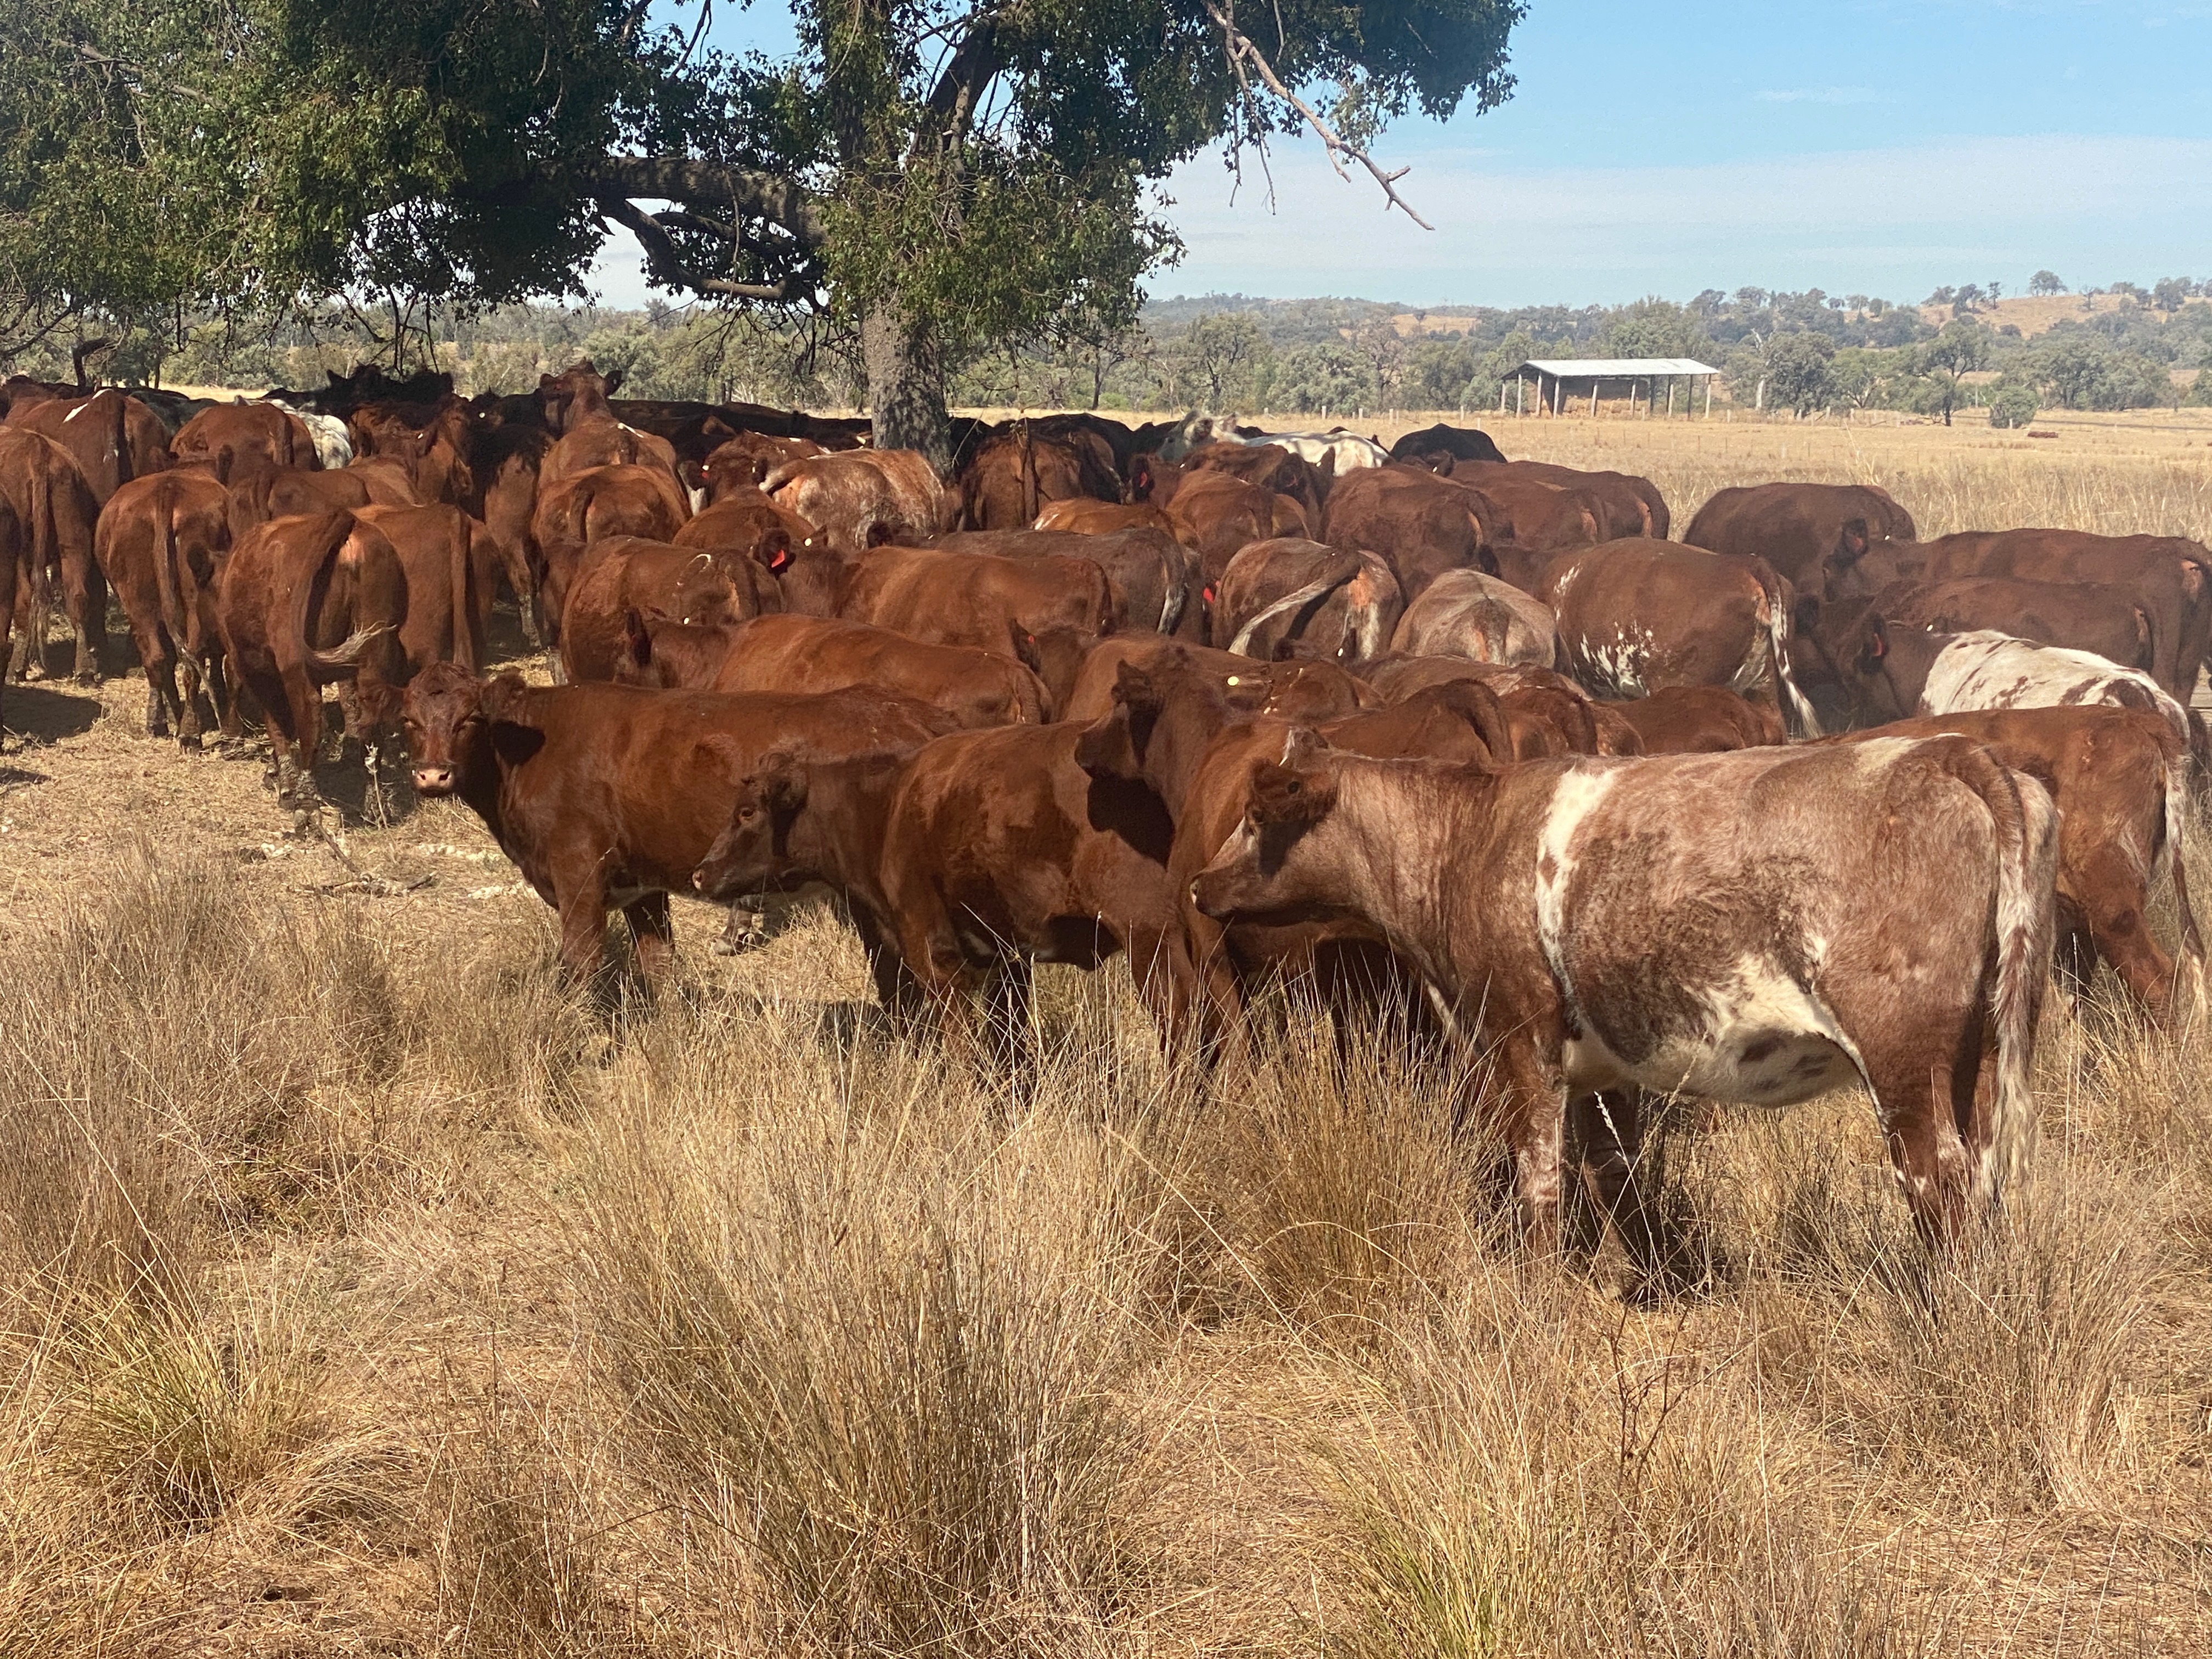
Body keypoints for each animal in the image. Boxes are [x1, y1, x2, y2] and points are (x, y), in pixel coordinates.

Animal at [94, 470, 235, 744]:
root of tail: (167, 490)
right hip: (192, 606)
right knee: (192, 659)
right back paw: (190, 732)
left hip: (138, 605)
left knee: (157, 658)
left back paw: (159, 722)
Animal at [215, 511, 409, 806]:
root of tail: (346, 520)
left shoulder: (256, 668)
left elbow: (277, 721)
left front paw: (282, 778)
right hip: (375, 653)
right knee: (369, 721)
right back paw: (373, 801)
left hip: (292, 659)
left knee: (309, 712)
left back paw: (305, 799)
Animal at [403, 667, 955, 990]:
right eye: (409, 720)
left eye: (470, 719)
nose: (433, 775)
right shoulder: (641, 883)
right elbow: (660, 965)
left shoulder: (578, 871)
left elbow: (579, 964)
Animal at [1189, 733, 2059, 1261]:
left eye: (1258, 816)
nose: (1199, 884)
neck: (1467, 841)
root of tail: (1943, 751)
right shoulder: (1600, 1072)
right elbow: (1614, 1173)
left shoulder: (1520, 1039)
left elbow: (1539, 1180)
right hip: (1980, 1049)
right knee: (1983, 1176)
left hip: (1904, 1056)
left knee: (1940, 1181)